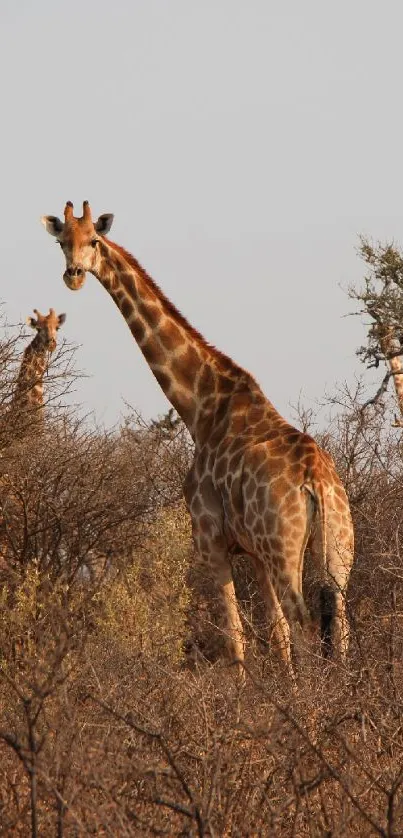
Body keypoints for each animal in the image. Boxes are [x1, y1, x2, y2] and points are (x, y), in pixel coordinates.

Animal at [41, 202, 356, 676]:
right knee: (337, 623)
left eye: (93, 240)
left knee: (304, 624)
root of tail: (317, 481)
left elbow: (236, 639)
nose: (74, 275)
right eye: (63, 241)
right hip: (337, 546)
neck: (200, 406)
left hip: (285, 549)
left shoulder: (211, 540)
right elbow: (274, 635)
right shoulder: (254, 552)